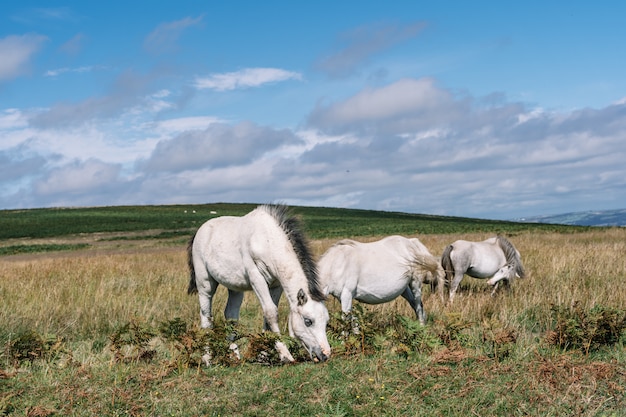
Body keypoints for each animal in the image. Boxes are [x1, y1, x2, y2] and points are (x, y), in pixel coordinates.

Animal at [186, 204, 330, 360]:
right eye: (308, 321)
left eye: (326, 321)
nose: (325, 354)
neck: (267, 240)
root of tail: (199, 232)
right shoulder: (257, 278)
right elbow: (271, 313)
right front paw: (285, 354)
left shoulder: (276, 285)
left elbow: (269, 313)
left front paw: (264, 353)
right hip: (205, 284)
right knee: (206, 316)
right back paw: (207, 358)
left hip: (235, 289)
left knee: (231, 316)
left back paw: (236, 357)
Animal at [316, 234, 444, 324]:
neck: (336, 263)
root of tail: (412, 242)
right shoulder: (341, 297)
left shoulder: (347, 294)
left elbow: (346, 321)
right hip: (404, 289)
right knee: (416, 305)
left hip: (415, 283)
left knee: (418, 305)